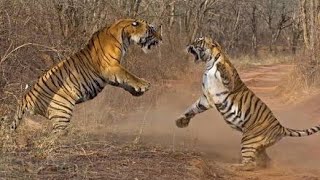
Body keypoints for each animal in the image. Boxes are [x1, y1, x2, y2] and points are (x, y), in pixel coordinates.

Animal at [11, 18, 162, 142]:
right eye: (151, 30)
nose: (161, 39)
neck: (125, 35)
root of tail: (26, 97)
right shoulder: (111, 67)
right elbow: (128, 75)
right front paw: (144, 84)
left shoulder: (110, 74)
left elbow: (124, 82)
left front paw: (137, 92)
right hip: (62, 111)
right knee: (53, 135)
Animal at [175, 36, 320, 170]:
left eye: (197, 41)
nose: (187, 45)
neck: (208, 64)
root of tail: (280, 127)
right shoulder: (205, 98)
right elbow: (192, 109)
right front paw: (180, 122)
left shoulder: (228, 84)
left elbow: (224, 70)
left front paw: (221, 64)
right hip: (257, 145)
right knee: (263, 161)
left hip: (248, 140)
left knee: (250, 164)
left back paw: (233, 166)